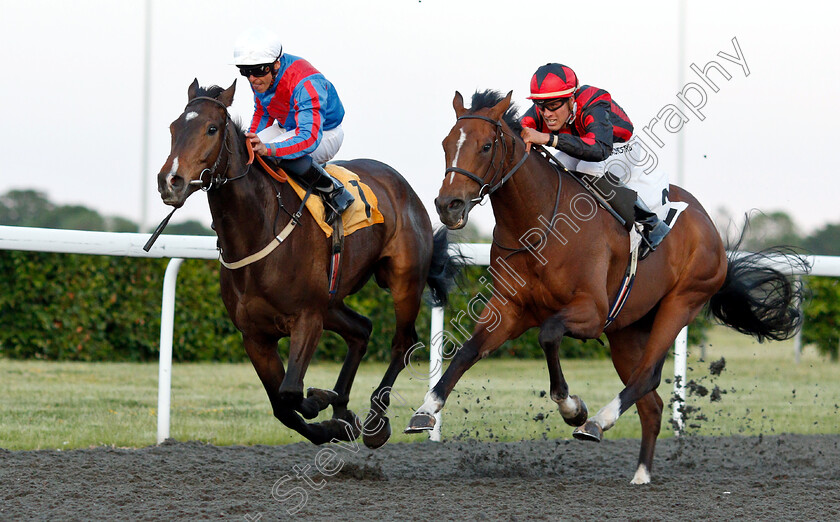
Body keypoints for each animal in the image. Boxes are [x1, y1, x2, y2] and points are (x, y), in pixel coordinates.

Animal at [158, 80, 460, 446]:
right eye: (173, 128)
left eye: (211, 129)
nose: (169, 181)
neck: (259, 231)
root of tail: (402, 185)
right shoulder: (255, 335)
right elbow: (283, 407)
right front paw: (335, 421)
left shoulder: (307, 318)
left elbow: (290, 391)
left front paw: (323, 401)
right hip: (332, 300)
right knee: (362, 329)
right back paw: (344, 407)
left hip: (403, 281)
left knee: (402, 342)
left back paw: (375, 418)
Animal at [406, 90, 808, 484]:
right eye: (446, 144)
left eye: (487, 145)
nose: (448, 205)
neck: (539, 227)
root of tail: (708, 225)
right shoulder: (508, 310)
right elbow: (466, 352)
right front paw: (426, 410)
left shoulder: (592, 312)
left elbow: (549, 335)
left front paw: (574, 409)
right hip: (627, 330)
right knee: (652, 403)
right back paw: (641, 474)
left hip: (682, 302)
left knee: (647, 375)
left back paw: (598, 422)